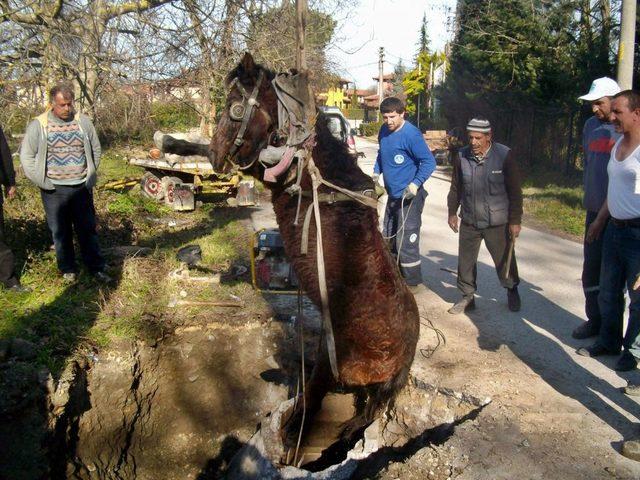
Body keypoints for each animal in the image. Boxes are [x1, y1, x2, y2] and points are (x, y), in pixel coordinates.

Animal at [160, 52, 420, 446]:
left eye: (235, 106)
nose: (219, 158)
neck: (308, 162)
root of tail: (402, 360)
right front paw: (173, 144)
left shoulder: (266, 173)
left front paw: (173, 143)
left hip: (332, 363)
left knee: (315, 398)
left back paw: (290, 426)